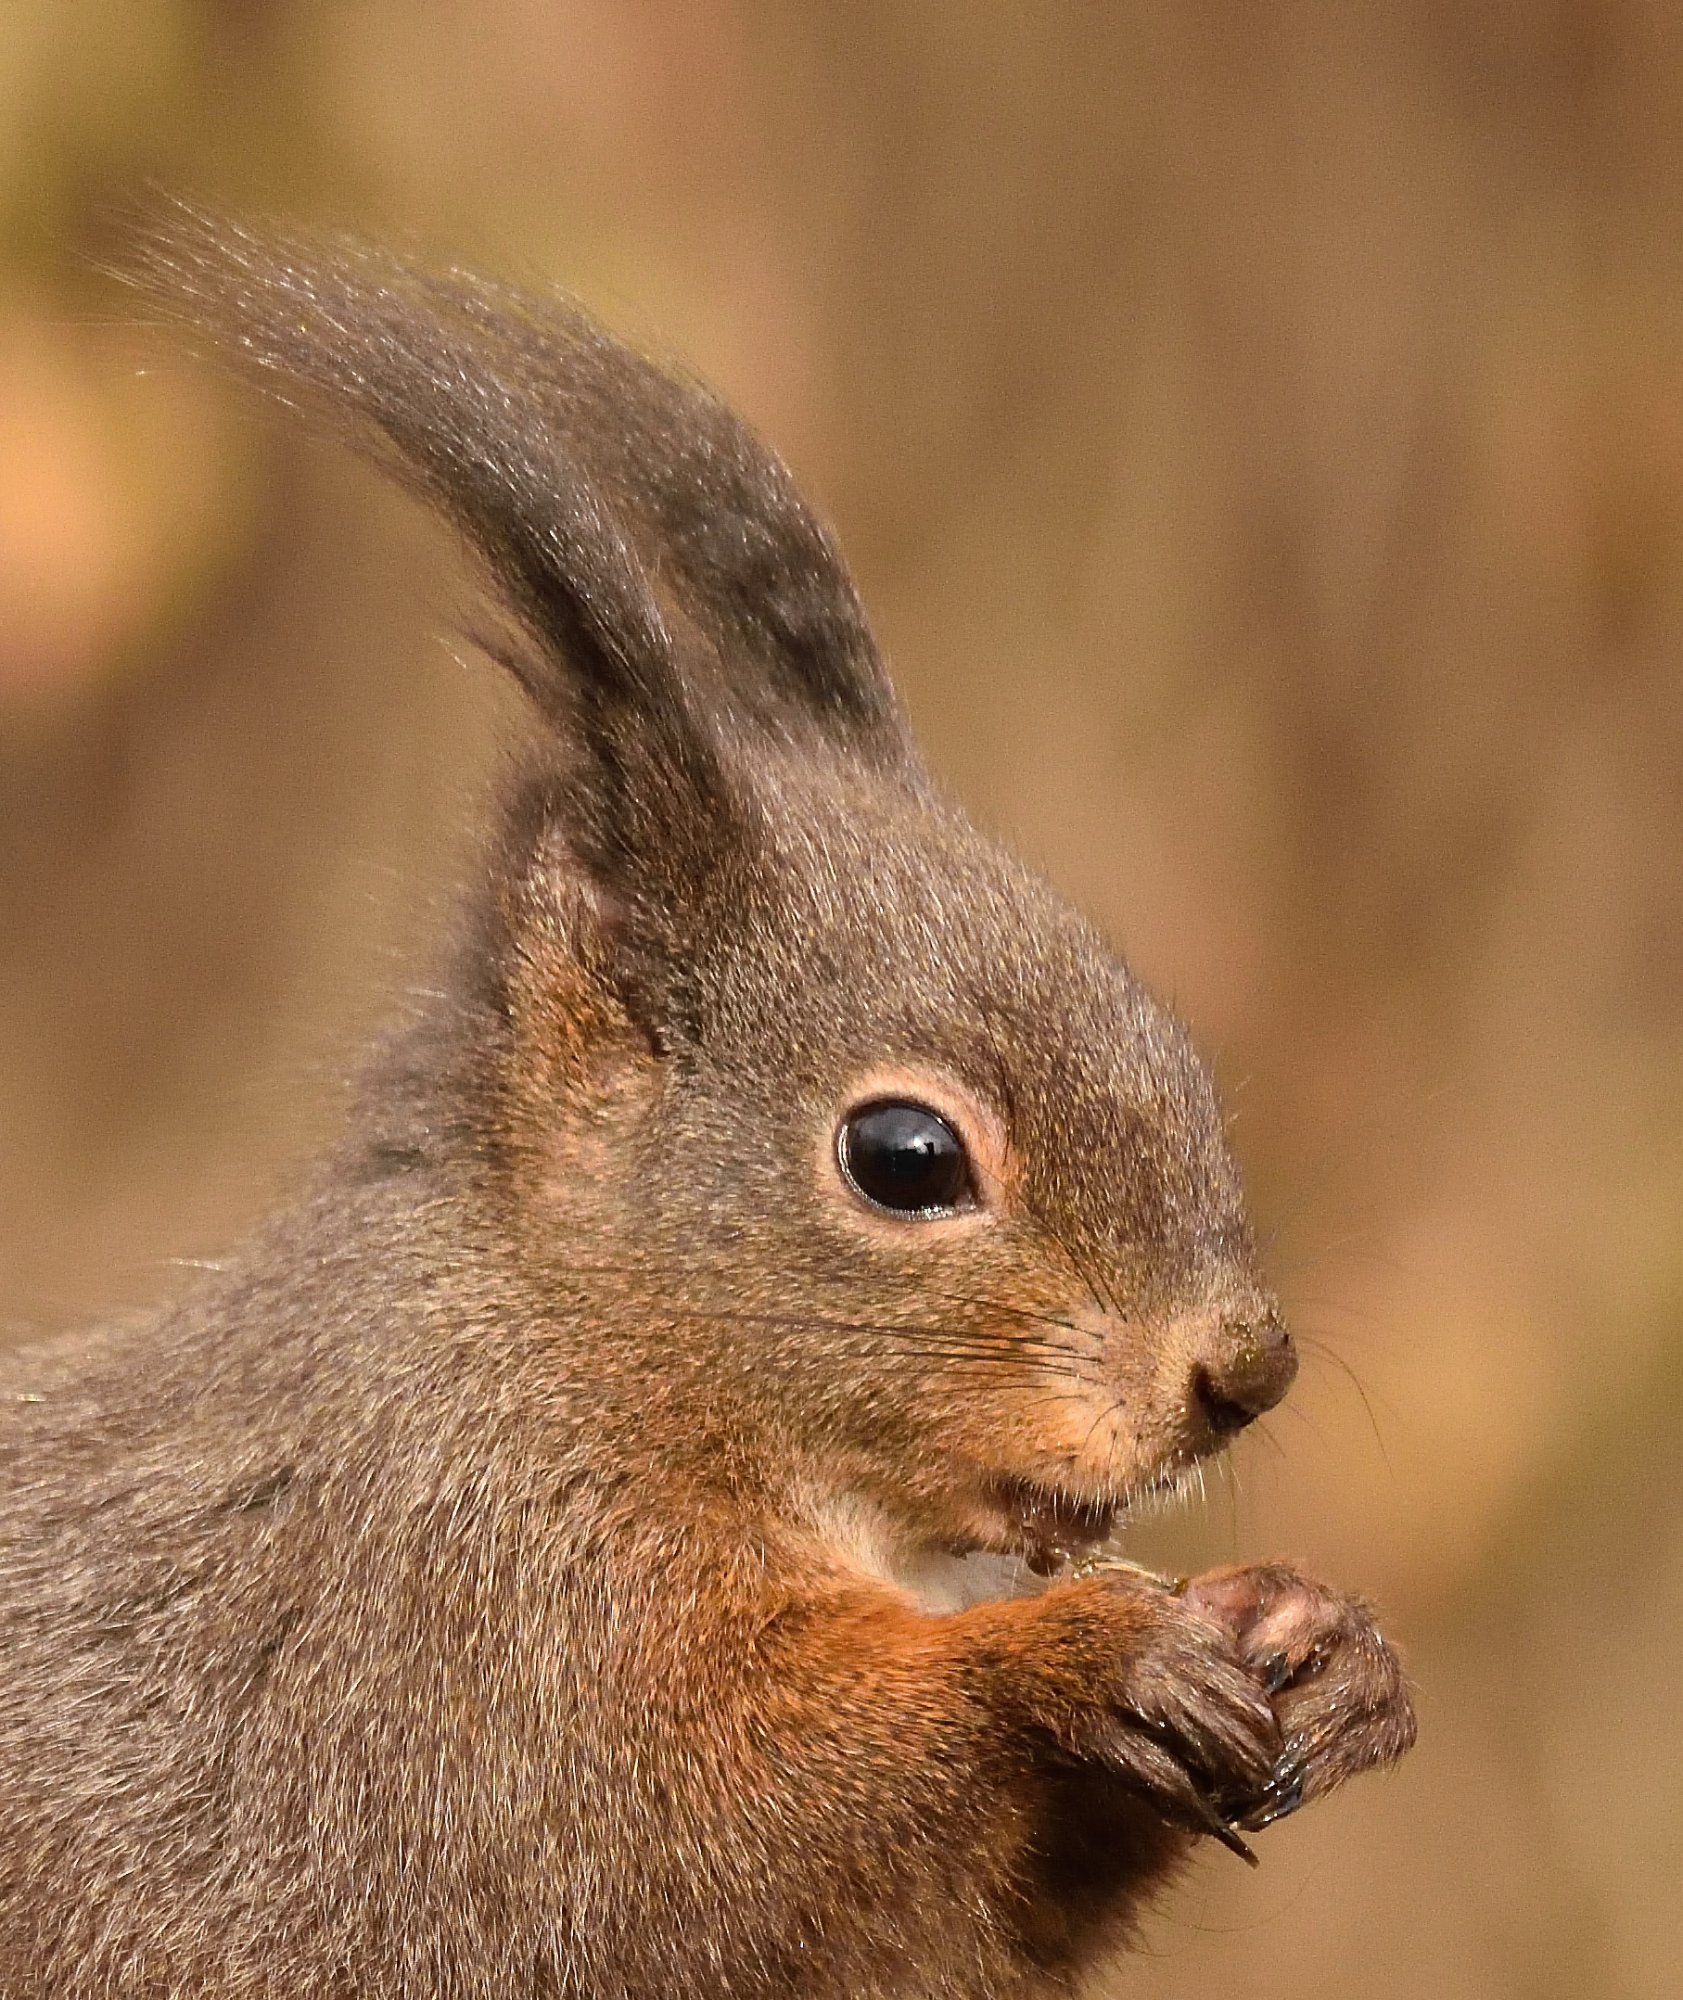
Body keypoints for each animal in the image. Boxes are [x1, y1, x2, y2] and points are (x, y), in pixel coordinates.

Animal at [0, 212, 1415, 1999]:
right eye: (903, 1157)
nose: (1243, 1371)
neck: (578, 1353)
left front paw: (1319, 1641)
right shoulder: (449, 1639)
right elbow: (699, 1817)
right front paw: (1066, 1656)